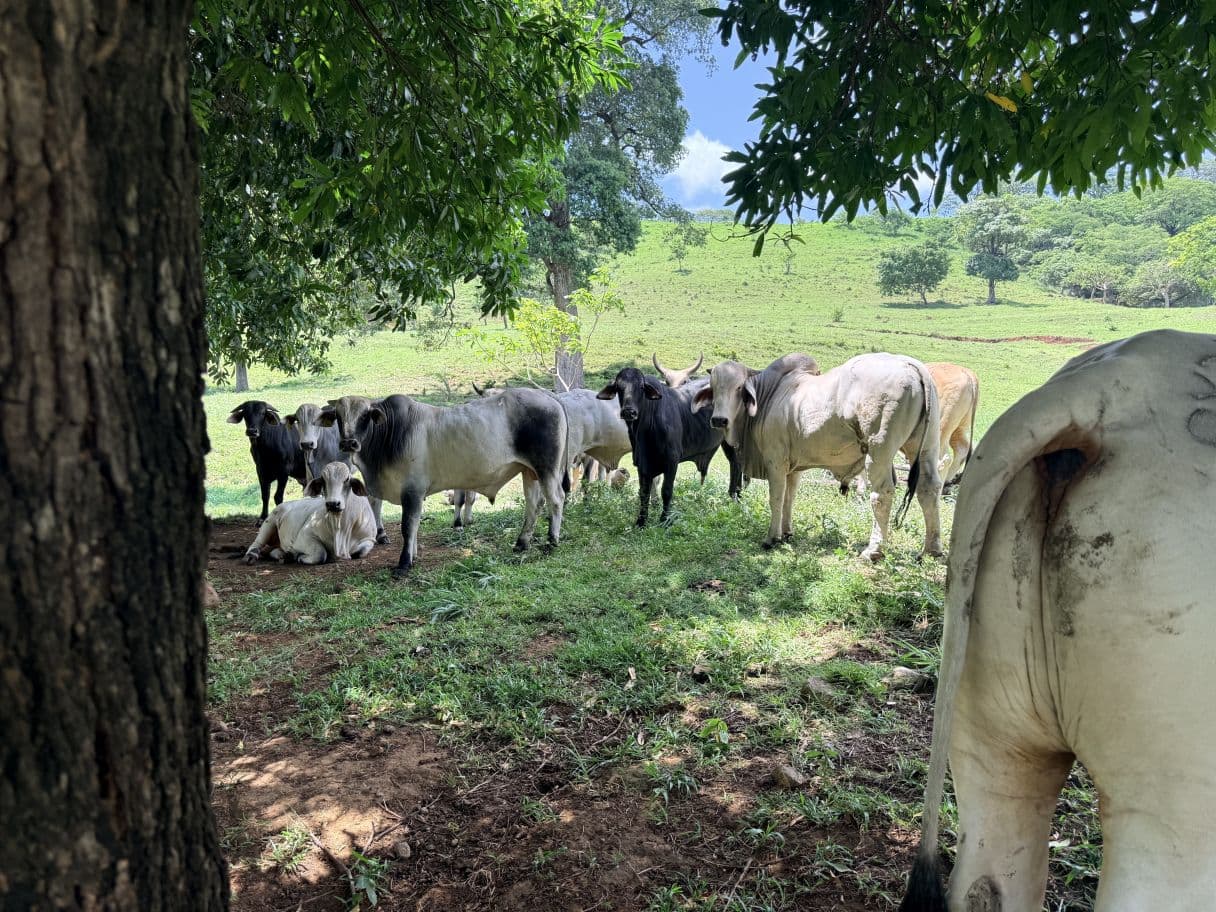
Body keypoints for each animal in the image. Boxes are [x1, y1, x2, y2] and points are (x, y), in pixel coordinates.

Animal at [242, 461, 378, 565]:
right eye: (323, 480)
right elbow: (320, 553)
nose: (332, 504)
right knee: (257, 543)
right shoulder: (304, 536)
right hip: (269, 522)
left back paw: (285, 555)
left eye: (347, 479)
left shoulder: (369, 539)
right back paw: (251, 556)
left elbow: (360, 552)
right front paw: (299, 556)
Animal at [320, 390, 569, 577]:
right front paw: (413, 556)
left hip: (546, 469)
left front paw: (404, 563)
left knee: (556, 500)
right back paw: (522, 543)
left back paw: (552, 541)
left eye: (365, 416)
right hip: (530, 472)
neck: (389, 434)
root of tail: (548, 396)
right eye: (339, 417)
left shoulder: (412, 491)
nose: (349, 443)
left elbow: (408, 526)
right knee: (533, 505)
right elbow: (415, 526)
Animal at [597, 368, 743, 526]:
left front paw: (665, 520)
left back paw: (735, 497)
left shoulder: (671, 461)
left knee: (737, 464)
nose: (629, 412)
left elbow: (666, 491)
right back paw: (736, 496)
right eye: (619, 387)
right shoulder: (641, 463)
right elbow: (643, 492)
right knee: (735, 464)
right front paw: (641, 521)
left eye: (641, 387)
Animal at [693, 352, 942, 559]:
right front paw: (787, 533)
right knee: (929, 488)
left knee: (882, 493)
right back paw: (931, 549)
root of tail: (912, 366)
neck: (769, 396)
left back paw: (873, 550)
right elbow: (789, 498)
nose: (719, 420)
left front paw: (772, 537)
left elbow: (776, 498)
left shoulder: (776, 461)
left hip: (879, 450)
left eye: (738, 388)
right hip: (927, 448)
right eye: (713, 387)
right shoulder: (793, 468)